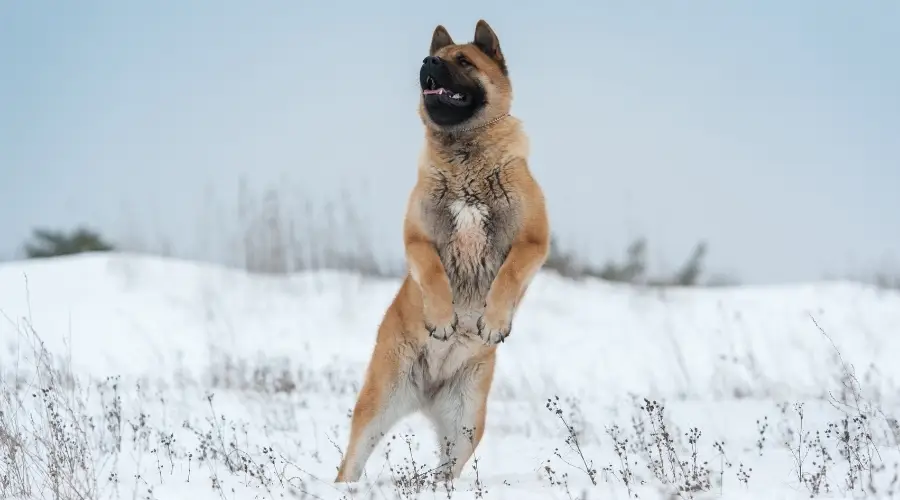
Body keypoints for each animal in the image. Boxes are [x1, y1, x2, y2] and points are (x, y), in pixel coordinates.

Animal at [336, 19, 552, 484]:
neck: (465, 154)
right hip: (378, 404)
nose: (427, 62)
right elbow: (434, 273)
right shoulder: (418, 239)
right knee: (350, 464)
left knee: (445, 471)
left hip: (466, 424)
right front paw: (441, 320)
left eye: (464, 61)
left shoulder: (533, 241)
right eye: (435, 57)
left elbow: (508, 275)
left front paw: (492, 322)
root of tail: (428, 392)